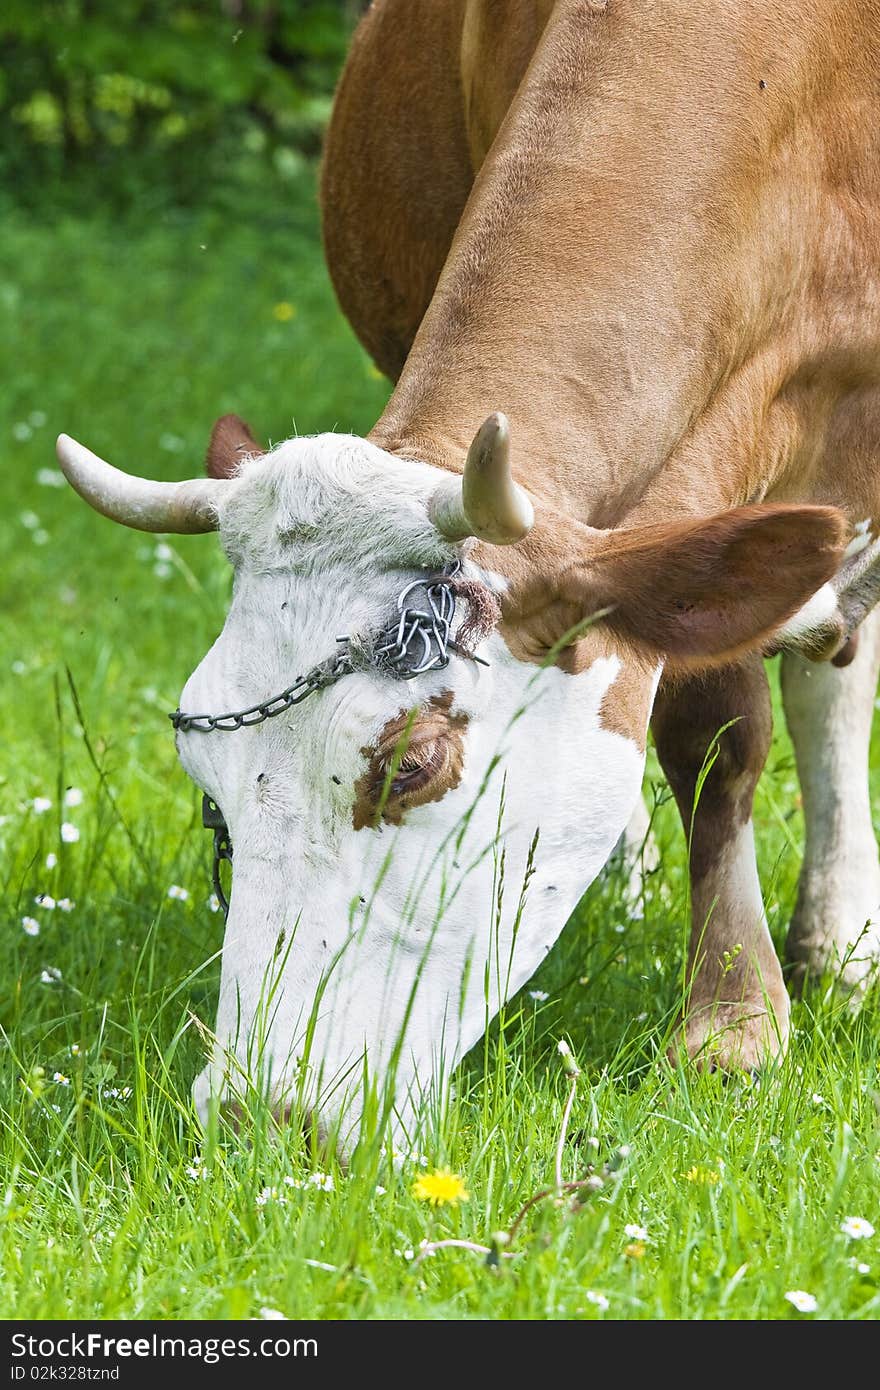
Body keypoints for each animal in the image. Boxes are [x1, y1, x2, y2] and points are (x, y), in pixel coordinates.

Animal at [53, 0, 878, 1145]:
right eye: (211, 798)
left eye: (413, 764)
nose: (263, 1117)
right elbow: (704, 713)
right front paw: (740, 1010)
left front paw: (730, 1024)